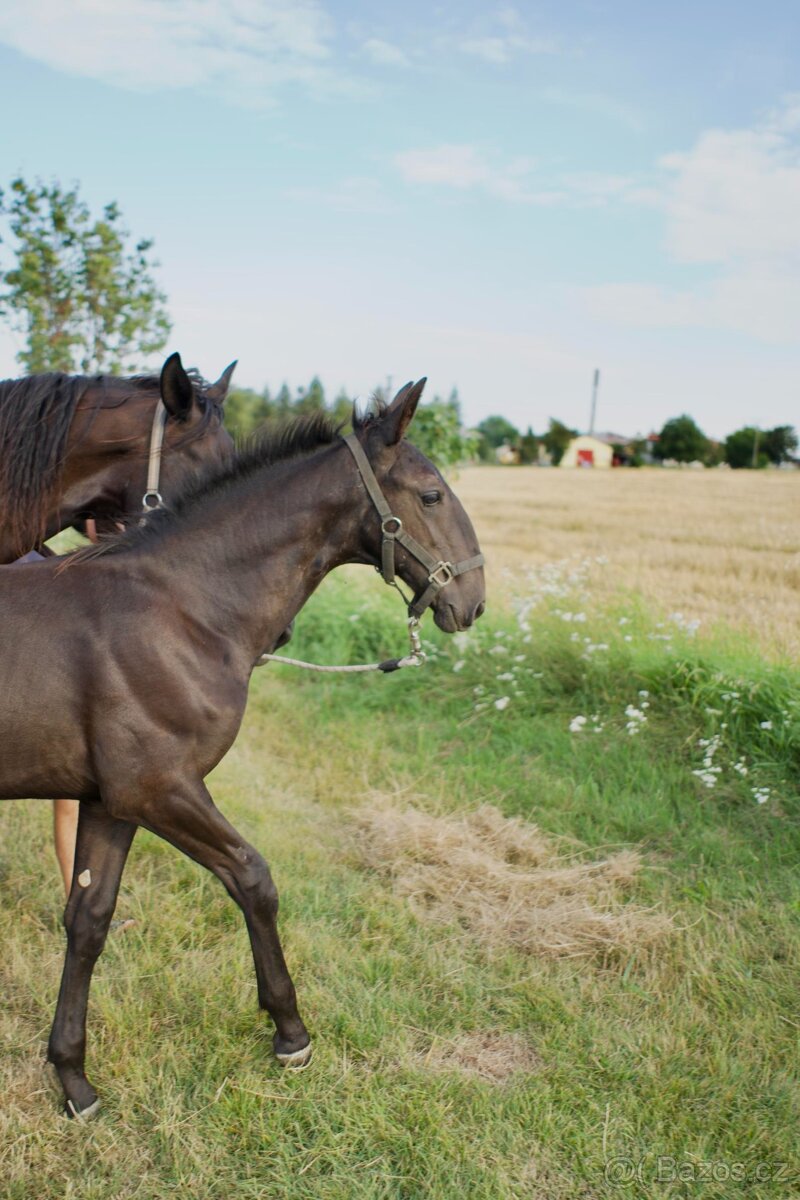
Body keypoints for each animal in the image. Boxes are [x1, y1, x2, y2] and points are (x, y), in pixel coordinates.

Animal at [0, 381, 482, 1113]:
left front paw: (73, 1076)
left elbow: (88, 920)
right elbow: (253, 877)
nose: (474, 600)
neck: (182, 608)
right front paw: (290, 1032)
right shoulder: (160, 788)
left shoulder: (112, 800)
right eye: (430, 495)